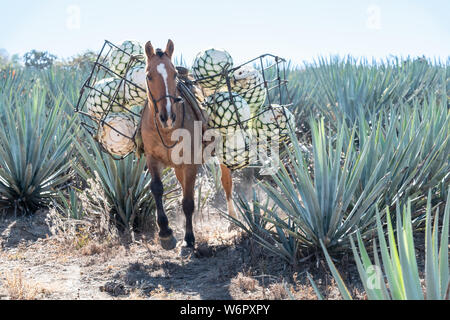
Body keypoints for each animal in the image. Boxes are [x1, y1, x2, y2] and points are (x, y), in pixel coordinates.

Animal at [142, 39, 237, 250]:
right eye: (149, 75)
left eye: (174, 74)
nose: (167, 116)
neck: (168, 131)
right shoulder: (152, 159)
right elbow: (157, 189)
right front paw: (165, 233)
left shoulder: (191, 164)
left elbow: (188, 202)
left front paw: (189, 238)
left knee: (226, 183)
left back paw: (233, 221)